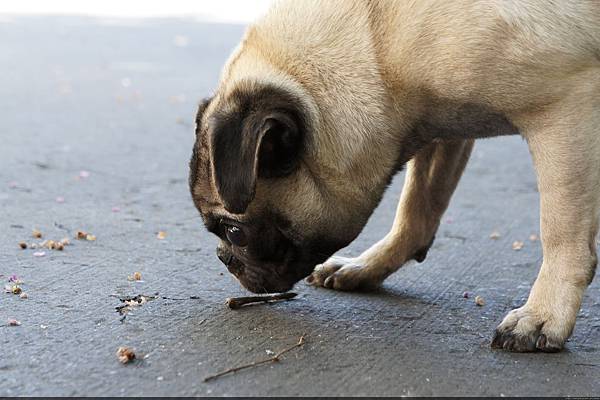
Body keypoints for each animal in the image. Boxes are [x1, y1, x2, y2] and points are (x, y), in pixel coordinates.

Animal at [191, 0, 600, 354]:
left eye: (235, 233)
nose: (223, 258)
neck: (379, 49)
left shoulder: (564, 112)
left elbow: (561, 230)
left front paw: (543, 315)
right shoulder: (442, 124)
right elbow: (416, 210)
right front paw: (368, 266)